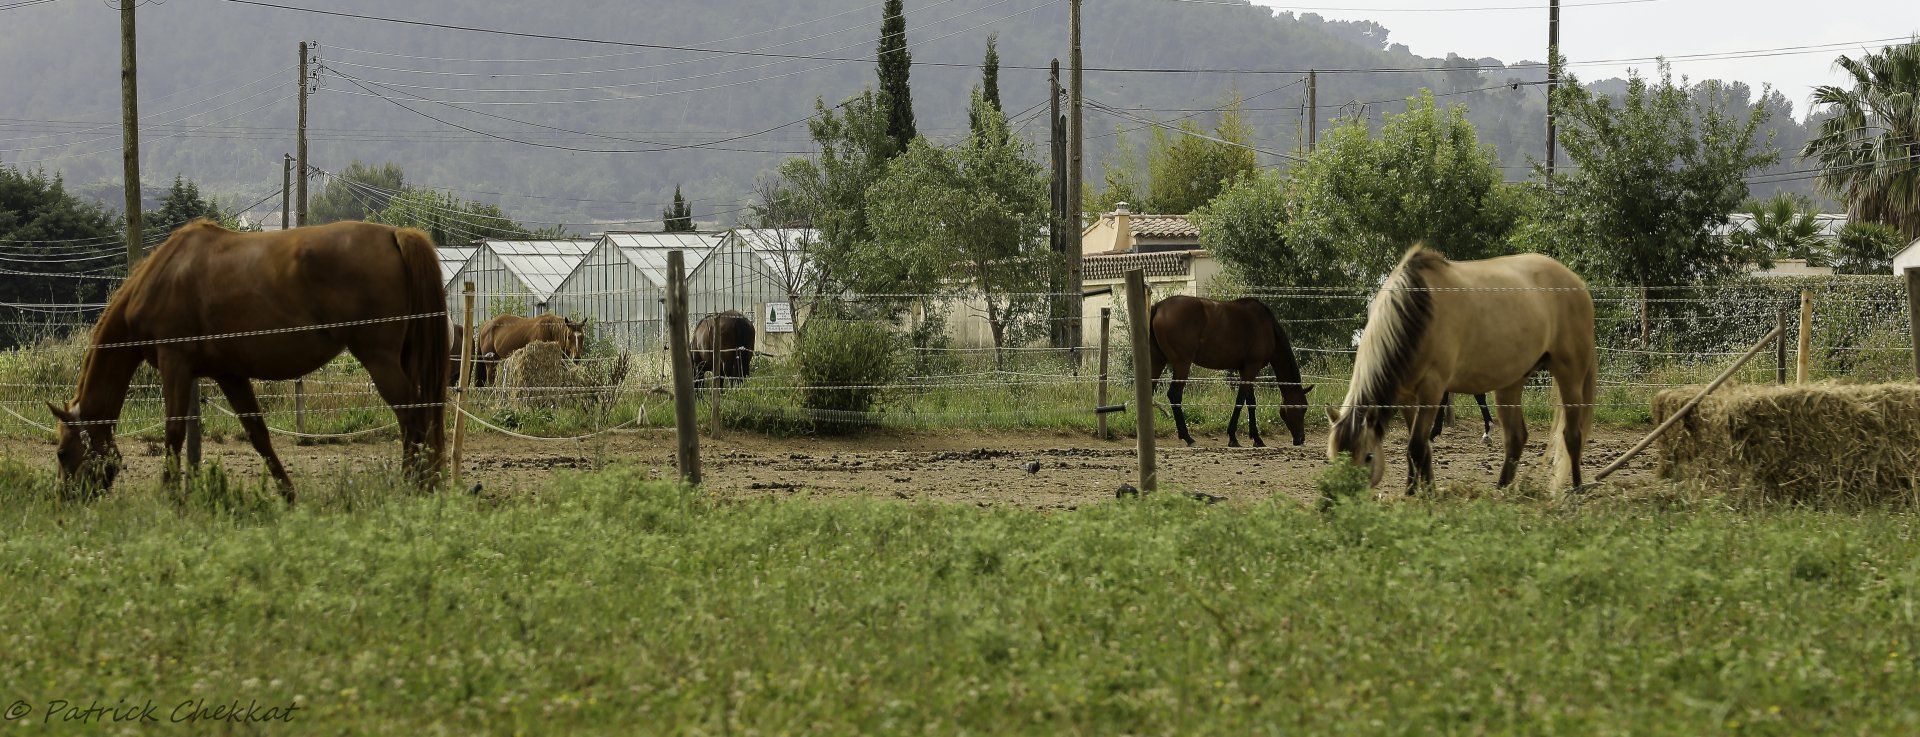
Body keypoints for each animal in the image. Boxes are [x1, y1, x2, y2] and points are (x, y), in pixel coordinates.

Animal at [48, 219, 448, 498]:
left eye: (63, 453)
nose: (65, 500)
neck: (164, 275)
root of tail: (395, 234)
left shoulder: (175, 364)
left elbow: (174, 433)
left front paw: (170, 497)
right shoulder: (230, 374)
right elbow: (259, 435)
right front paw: (287, 494)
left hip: (379, 359)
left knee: (414, 417)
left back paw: (414, 485)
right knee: (416, 418)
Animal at [1147, 295, 1315, 447]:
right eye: (1302, 408)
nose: (1301, 439)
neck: (1266, 325)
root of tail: (1159, 306)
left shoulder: (1246, 370)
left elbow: (1250, 402)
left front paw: (1256, 438)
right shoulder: (1251, 367)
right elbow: (1241, 401)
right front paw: (1234, 437)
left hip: (1157, 361)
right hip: (1182, 364)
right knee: (1174, 394)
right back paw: (1188, 437)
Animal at [1327, 246, 1595, 492]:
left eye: (1368, 456)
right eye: (1333, 457)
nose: (1341, 497)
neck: (1417, 313)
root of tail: (1577, 283)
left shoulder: (1432, 389)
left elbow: (1416, 446)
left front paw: (1415, 494)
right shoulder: (1405, 396)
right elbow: (1421, 447)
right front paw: (1425, 491)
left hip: (1569, 374)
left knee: (1572, 435)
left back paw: (1576, 490)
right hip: (1511, 383)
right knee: (1516, 437)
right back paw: (1501, 491)